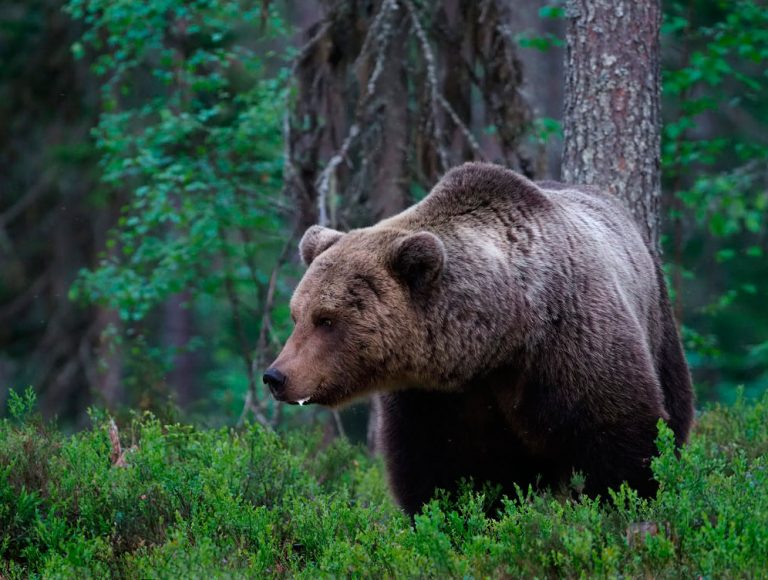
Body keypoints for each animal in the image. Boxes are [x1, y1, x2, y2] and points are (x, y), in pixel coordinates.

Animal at [266, 161, 696, 516]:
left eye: (327, 319)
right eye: (297, 315)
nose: (276, 376)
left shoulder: (571, 349)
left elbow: (621, 444)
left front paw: (623, 506)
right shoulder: (434, 399)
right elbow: (436, 473)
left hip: (659, 323)